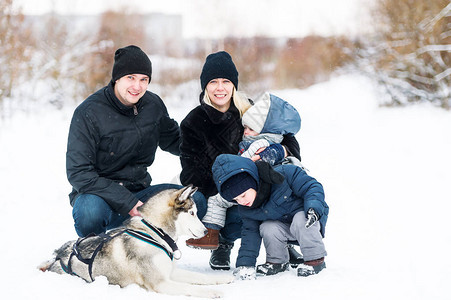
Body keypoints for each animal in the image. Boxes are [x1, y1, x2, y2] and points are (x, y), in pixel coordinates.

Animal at [39, 185, 233, 298]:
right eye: (192, 213)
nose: (206, 231)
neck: (155, 232)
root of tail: (57, 256)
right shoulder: (160, 282)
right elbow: (190, 288)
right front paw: (212, 292)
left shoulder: (170, 272)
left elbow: (200, 277)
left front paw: (221, 279)